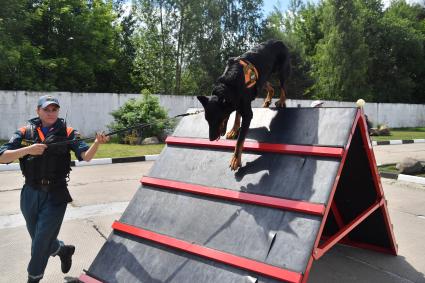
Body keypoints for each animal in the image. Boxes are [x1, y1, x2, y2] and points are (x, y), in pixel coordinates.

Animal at [197, 39, 290, 171]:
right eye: (207, 120)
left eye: (218, 119)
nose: (211, 139)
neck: (228, 84)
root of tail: (279, 41)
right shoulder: (238, 101)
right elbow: (237, 115)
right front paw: (234, 129)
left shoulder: (247, 113)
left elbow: (240, 140)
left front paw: (236, 159)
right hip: (262, 78)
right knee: (271, 87)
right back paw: (267, 101)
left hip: (282, 71)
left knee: (283, 87)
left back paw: (281, 101)